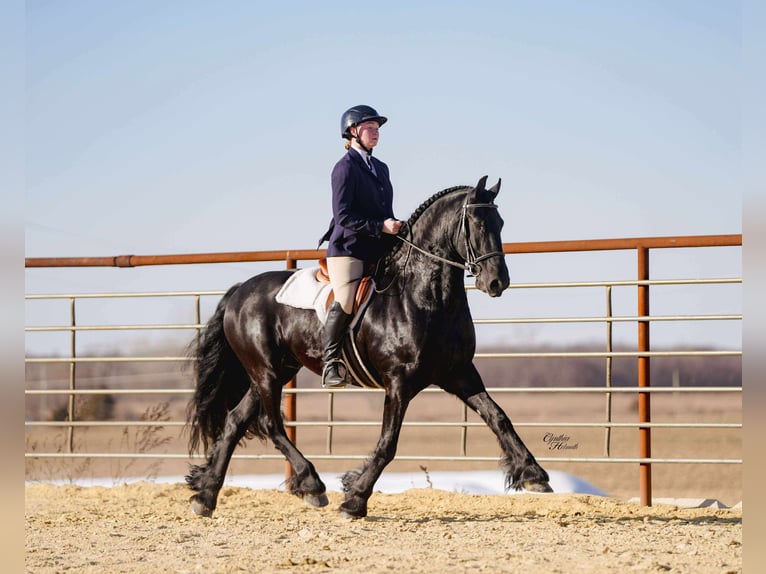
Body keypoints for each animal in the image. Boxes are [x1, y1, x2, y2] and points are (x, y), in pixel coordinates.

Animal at [185, 175, 552, 519]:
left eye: (500, 223)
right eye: (477, 223)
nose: (497, 282)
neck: (425, 298)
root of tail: (239, 291)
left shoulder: (458, 373)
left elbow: (498, 417)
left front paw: (533, 474)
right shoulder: (399, 383)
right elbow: (388, 443)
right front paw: (355, 498)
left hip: (273, 371)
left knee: (236, 421)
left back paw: (206, 495)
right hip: (266, 372)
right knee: (271, 423)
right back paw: (311, 485)